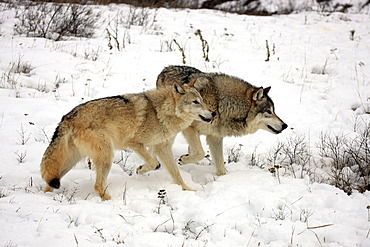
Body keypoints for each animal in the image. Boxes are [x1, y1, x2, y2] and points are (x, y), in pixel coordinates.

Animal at [155, 65, 286, 177]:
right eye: (269, 111)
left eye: (274, 110)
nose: (285, 125)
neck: (221, 103)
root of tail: (165, 69)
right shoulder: (190, 128)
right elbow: (201, 152)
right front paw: (184, 160)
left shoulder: (215, 137)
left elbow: (220, 167)